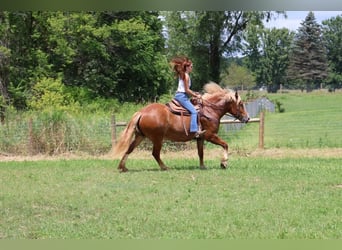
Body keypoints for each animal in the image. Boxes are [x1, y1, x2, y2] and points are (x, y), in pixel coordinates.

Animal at [113, 82, 250, 172]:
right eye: (240, 104)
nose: (247, 118)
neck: (210, 110)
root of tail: (142, 112)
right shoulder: (209, 135)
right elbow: (225, 145)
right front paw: (224, 163)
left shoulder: (200, 138)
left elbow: (201, 153)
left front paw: (202, 166)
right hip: (157, 138)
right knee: (155, 153)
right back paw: (164, 167)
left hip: (140, 136)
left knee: (130, 149)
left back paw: (122, 167)